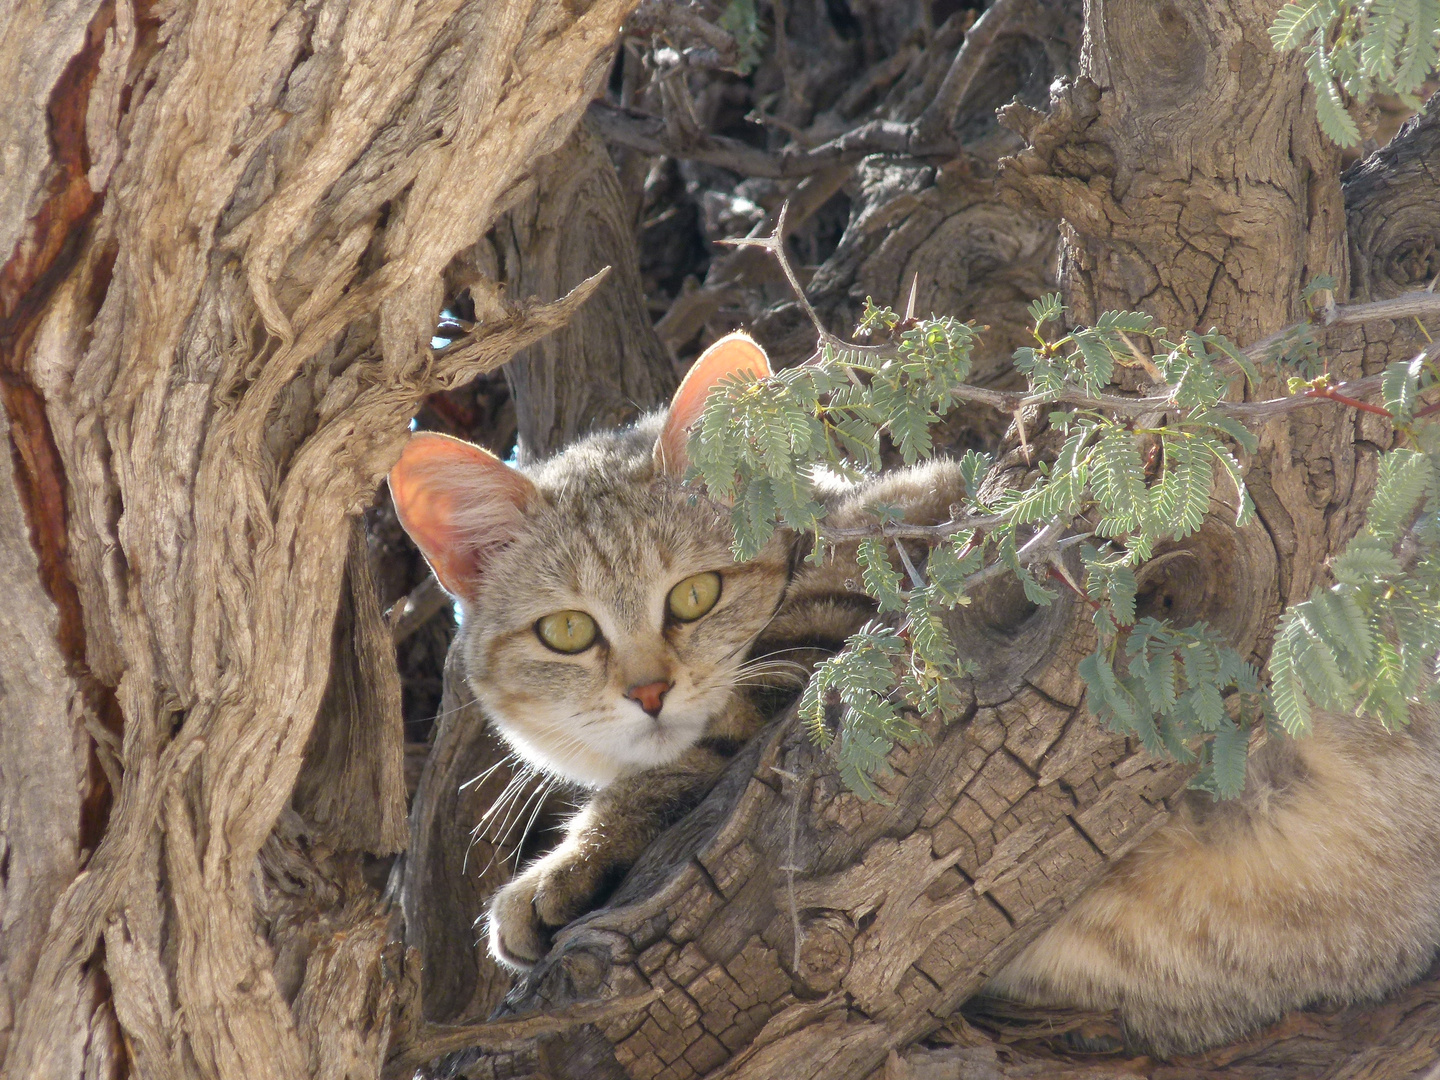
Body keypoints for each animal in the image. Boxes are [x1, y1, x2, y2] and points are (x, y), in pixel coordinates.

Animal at [388, 332, 1440, 1059]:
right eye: (568, 631)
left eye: (695, 595)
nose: (649, 689)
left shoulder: (836, 653)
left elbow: (679, 766)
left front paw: (559, 873)